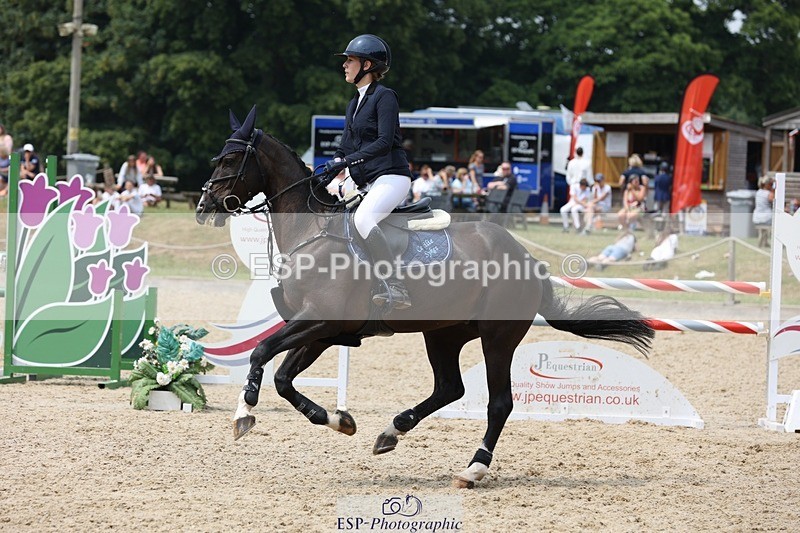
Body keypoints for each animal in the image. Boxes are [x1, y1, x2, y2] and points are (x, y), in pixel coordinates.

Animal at [195, 105, 654, 488]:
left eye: (231, 159)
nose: (203, 207)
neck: (311, 231)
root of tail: (525, 257)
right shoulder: (320, 330)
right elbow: (284, 378)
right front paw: (338, 420)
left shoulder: (321, 320)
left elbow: (262, 354)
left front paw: (245, 413)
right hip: (444, 333)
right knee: (450, 388)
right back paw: (391, 431)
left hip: (498, 336)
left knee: (499, 403)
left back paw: (473, 469)